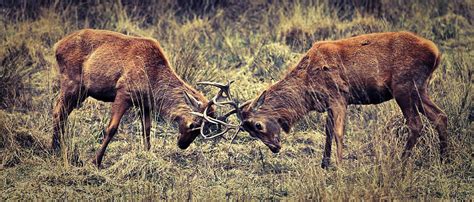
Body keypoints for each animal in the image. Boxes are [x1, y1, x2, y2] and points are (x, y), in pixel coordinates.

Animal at [52, 28, 213, 167]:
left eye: (202, 130)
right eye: (192, 125)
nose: (182, 145)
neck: (152, 83)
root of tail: (57, 46)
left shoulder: (145, 103)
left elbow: (147, 130)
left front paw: (148, 156)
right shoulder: (124, 92)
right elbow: (112, 128)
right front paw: (96, 161)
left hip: (82, 91)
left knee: (62, 113)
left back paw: (58, 146)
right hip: (71, 81)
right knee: (58, 112)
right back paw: (55, 147)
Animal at [236, 31, 448, 167]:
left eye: (257, 125)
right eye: (249, 132)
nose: (274, 148)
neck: (307, 92)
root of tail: (436, 53)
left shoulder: (339, 96)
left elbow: (338, 132)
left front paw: (339, 167)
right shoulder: (329, 104)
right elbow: (328, 132)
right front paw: (325, 163)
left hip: (404, 86)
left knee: (415, 124)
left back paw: (401, 162)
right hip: (420, 89)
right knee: (440, 116)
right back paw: (444, 158)